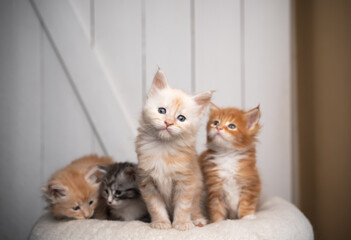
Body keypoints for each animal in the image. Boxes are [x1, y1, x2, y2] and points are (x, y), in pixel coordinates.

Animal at [135, 68, 213, 230]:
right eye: (162, 110)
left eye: (181, 118)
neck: (163, 148)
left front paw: (182, 224)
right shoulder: (147, 182)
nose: (168, 122)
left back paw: (197, 220)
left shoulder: (186, 182)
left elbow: (183, 206)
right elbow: (155, 207)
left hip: (198, 189)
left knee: (195, 208)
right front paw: (161, 223)